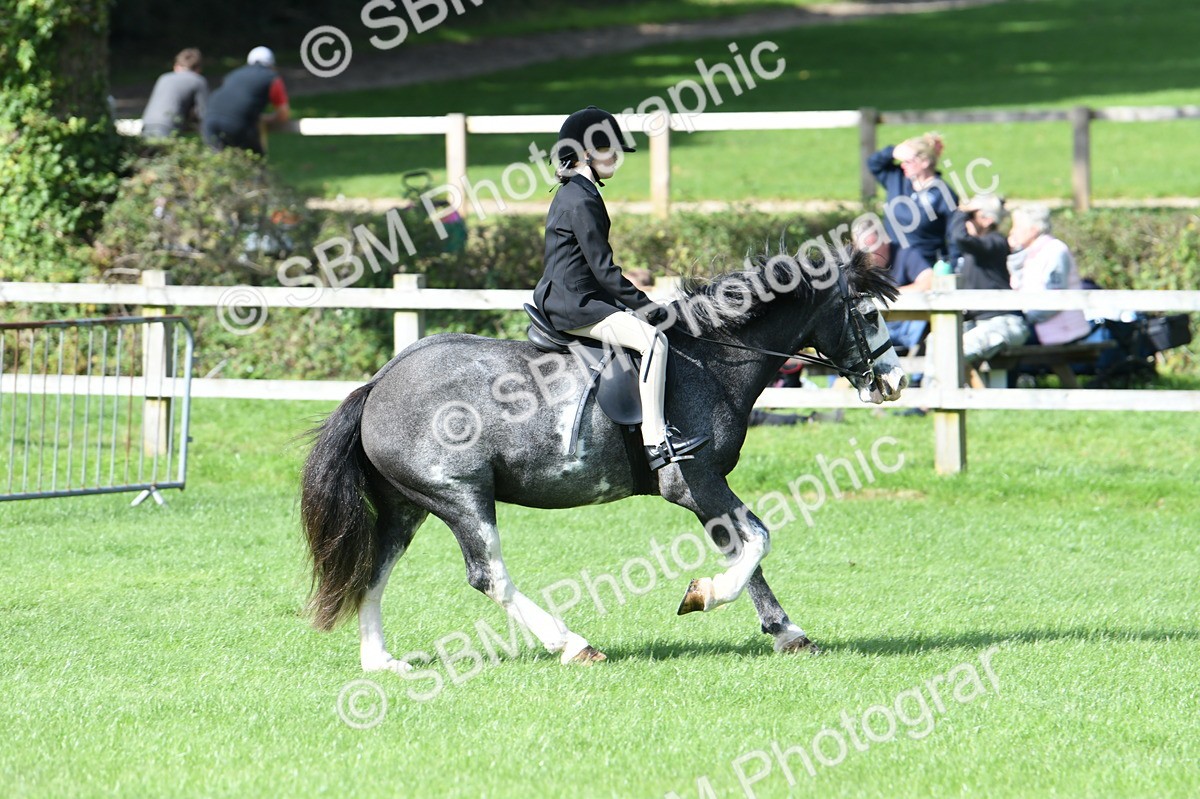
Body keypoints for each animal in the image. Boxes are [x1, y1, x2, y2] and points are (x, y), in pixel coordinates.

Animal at [300, 249, 905, 670]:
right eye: (869, 315)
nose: (895, 382)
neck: (711, 359)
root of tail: (377, 385)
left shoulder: (705, 487)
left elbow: (744, 548)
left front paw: (786, 632)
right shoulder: (694, 481)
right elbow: (757, 539)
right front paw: (704, 595)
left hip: (408, 505)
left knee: (375, 569)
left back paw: (380, 661)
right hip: (460, 497)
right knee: (489, 576)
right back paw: (572, 645)